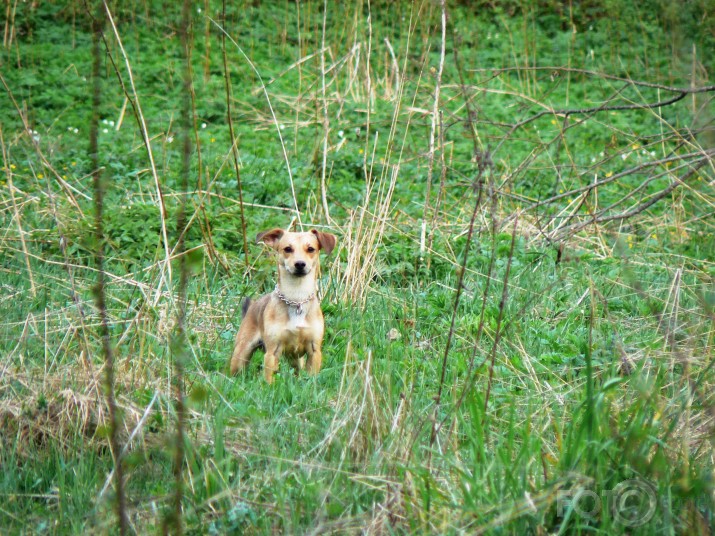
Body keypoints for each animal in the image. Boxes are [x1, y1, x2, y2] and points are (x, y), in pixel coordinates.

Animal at [231, 228, 340, 384]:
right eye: (288, 249)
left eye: (311, 249)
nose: (300, 264)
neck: (297, 299)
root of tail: (252, 307)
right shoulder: (272, 352)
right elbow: (269, 379)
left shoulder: (314, 351)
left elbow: (311, 377)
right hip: (241, 353)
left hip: (296, 360)